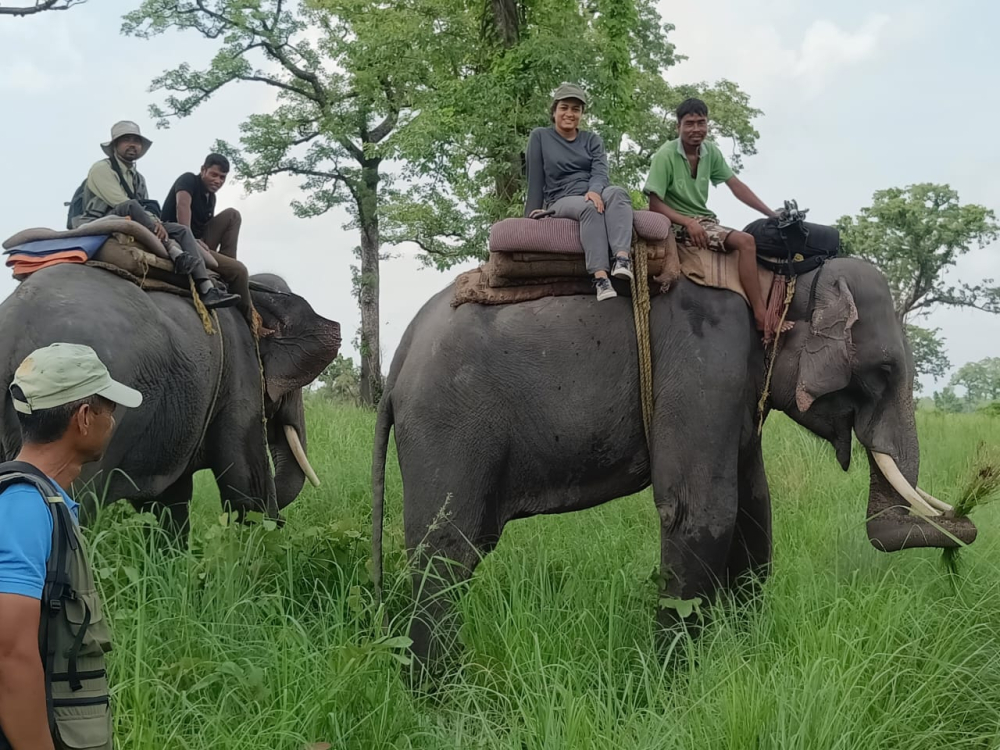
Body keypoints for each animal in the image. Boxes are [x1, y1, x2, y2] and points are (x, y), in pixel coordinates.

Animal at [376, 258, 976, 668]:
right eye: (884, 370)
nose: (963, 517)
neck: (778, 274)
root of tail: (397, 361)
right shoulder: (705, 359)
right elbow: (700, 512)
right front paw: (669, 683)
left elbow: (754, 512)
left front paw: (742, 658)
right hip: (448, 422)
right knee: (444, 554)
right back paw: (443, 696)